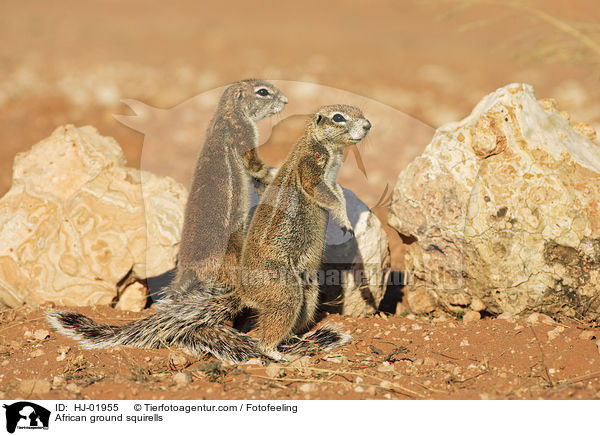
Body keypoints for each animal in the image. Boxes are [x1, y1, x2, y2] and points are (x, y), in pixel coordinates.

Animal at [47, 104, 370, 362]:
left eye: (360, 111)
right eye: (339, 117)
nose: (368, 125)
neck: (324, 146)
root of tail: (242, 291)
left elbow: (336, 193)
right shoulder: (312, 165)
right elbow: (324, 193)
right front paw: (344, 220)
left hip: (308, 289)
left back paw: (295, 341)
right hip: (282, 288)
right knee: (266, 331)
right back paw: (277, 352)